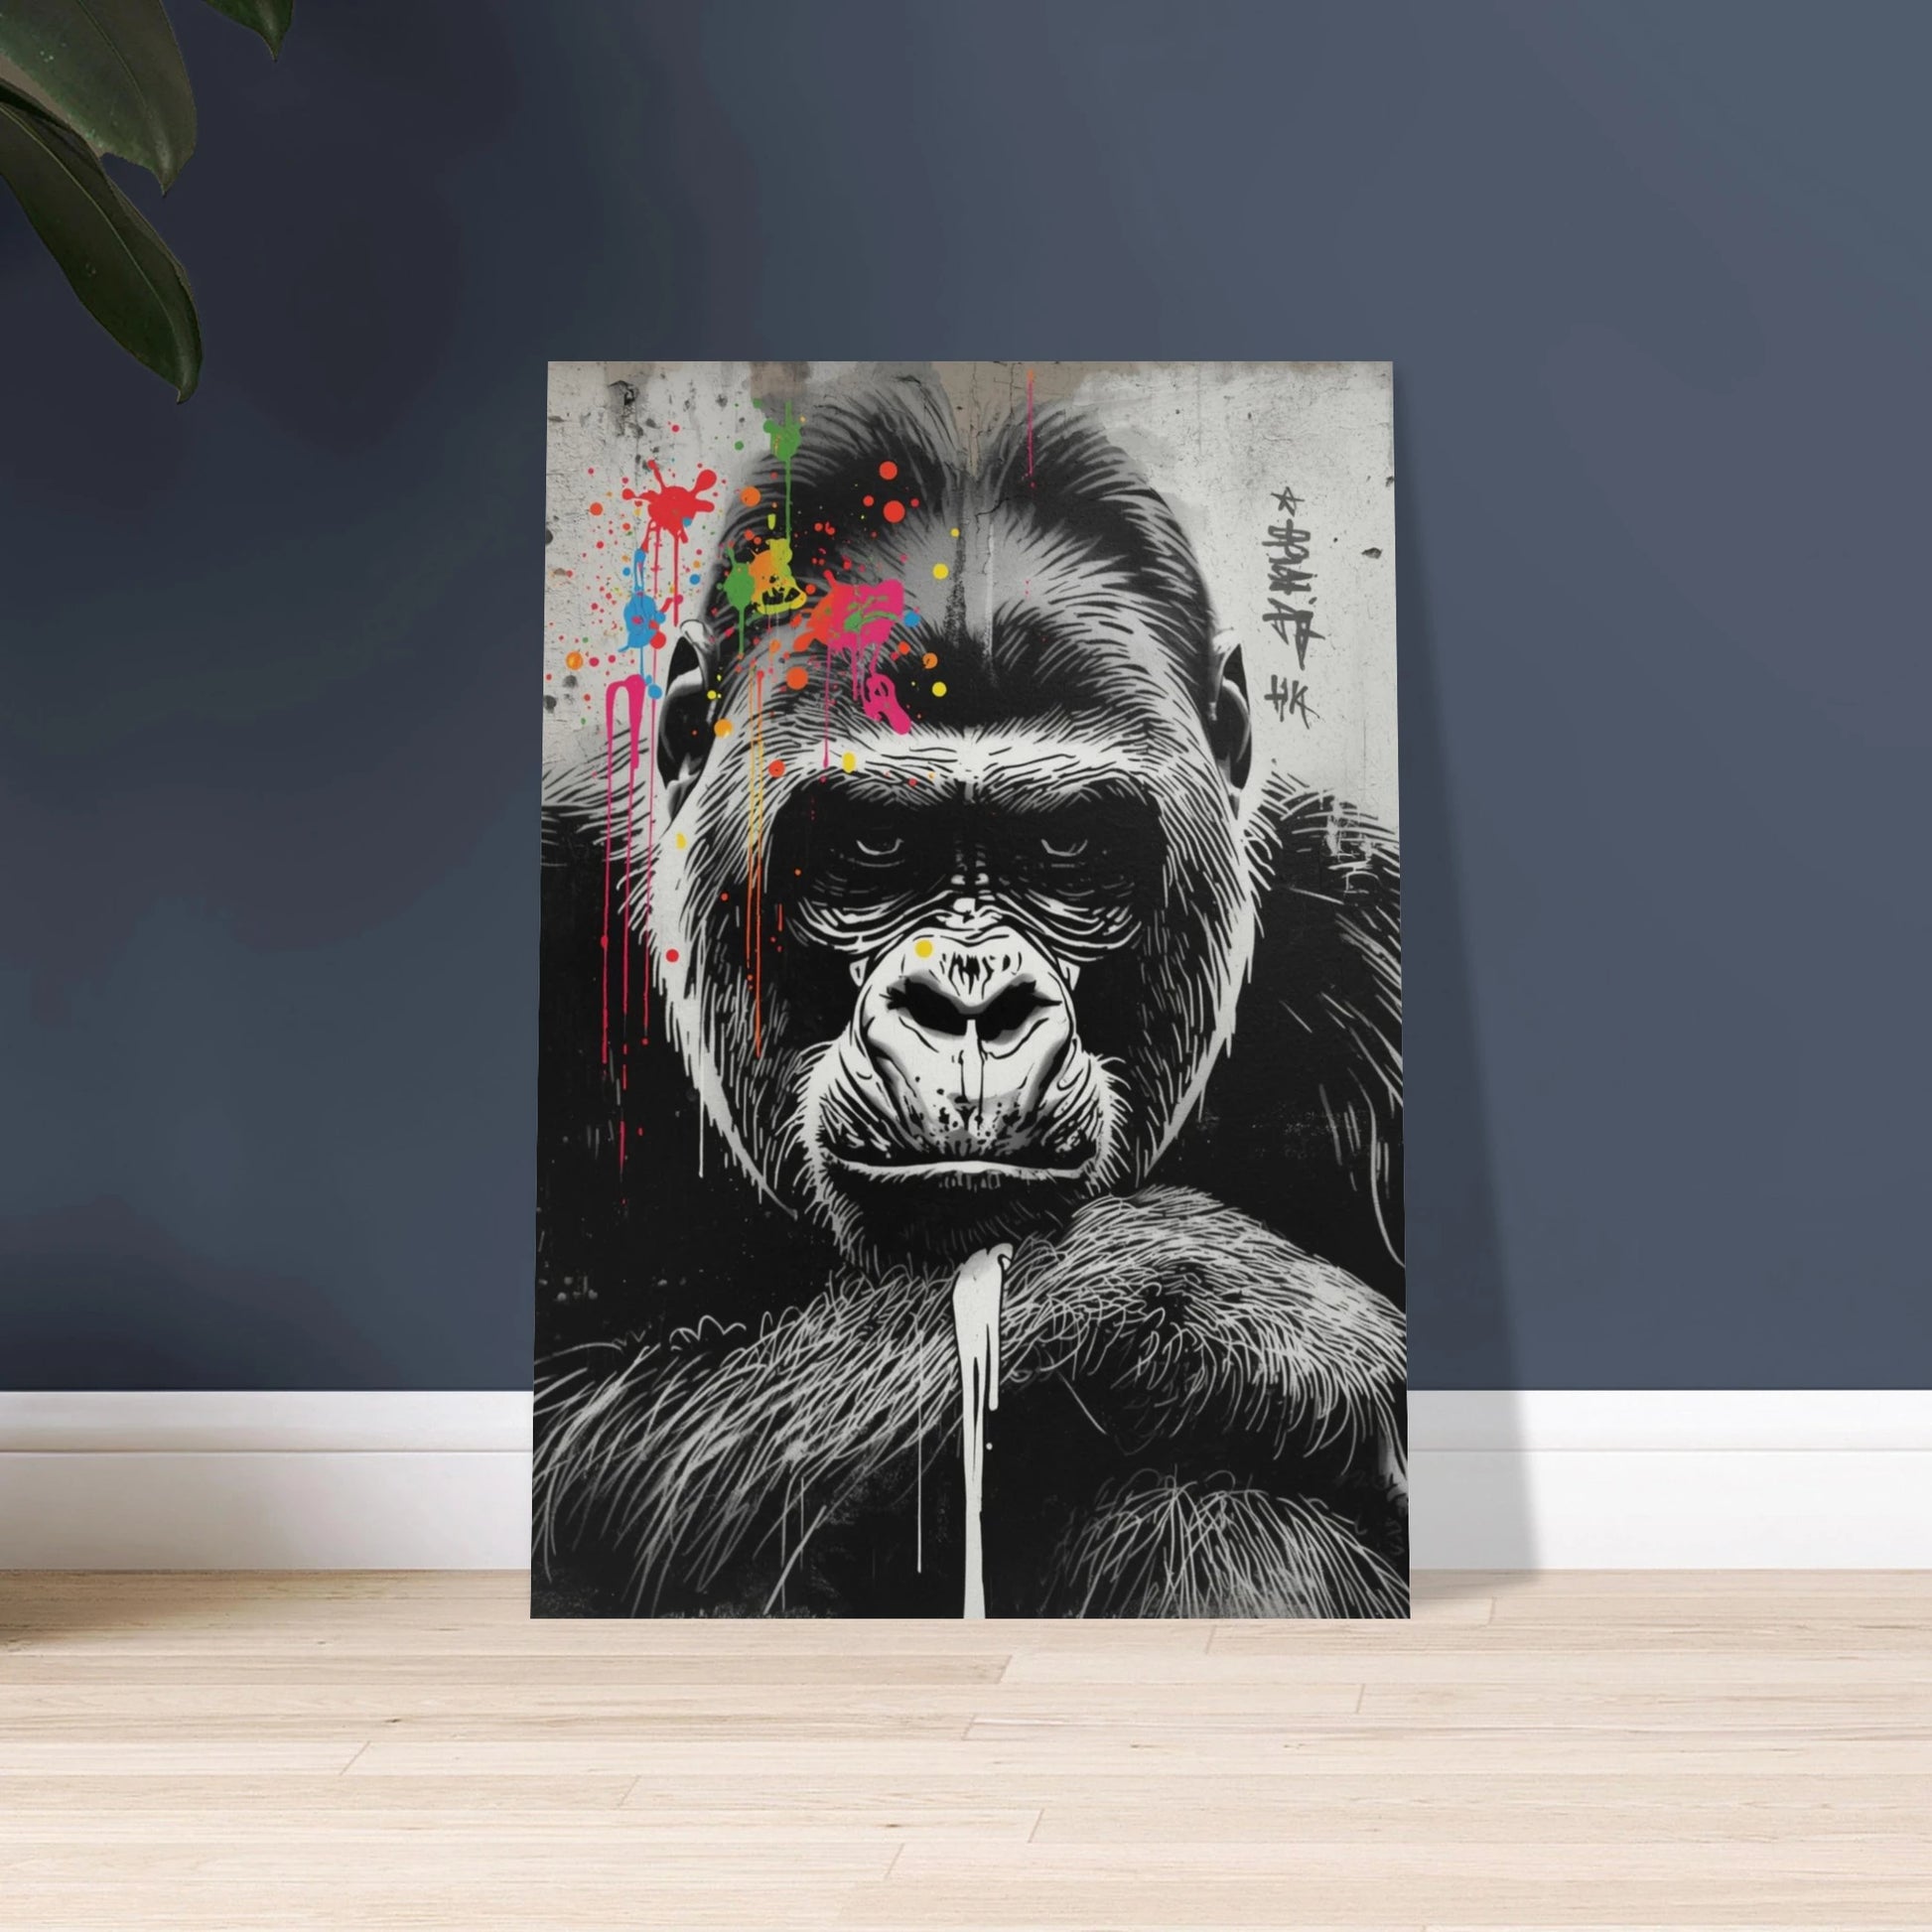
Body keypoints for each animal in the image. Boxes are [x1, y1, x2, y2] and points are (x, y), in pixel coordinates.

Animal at [534, 373, 1405, 1618]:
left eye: (1067, 844)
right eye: (873, 840)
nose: (969, 997)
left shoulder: (1374, 939)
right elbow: (565, 1441)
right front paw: (1251, 1309)